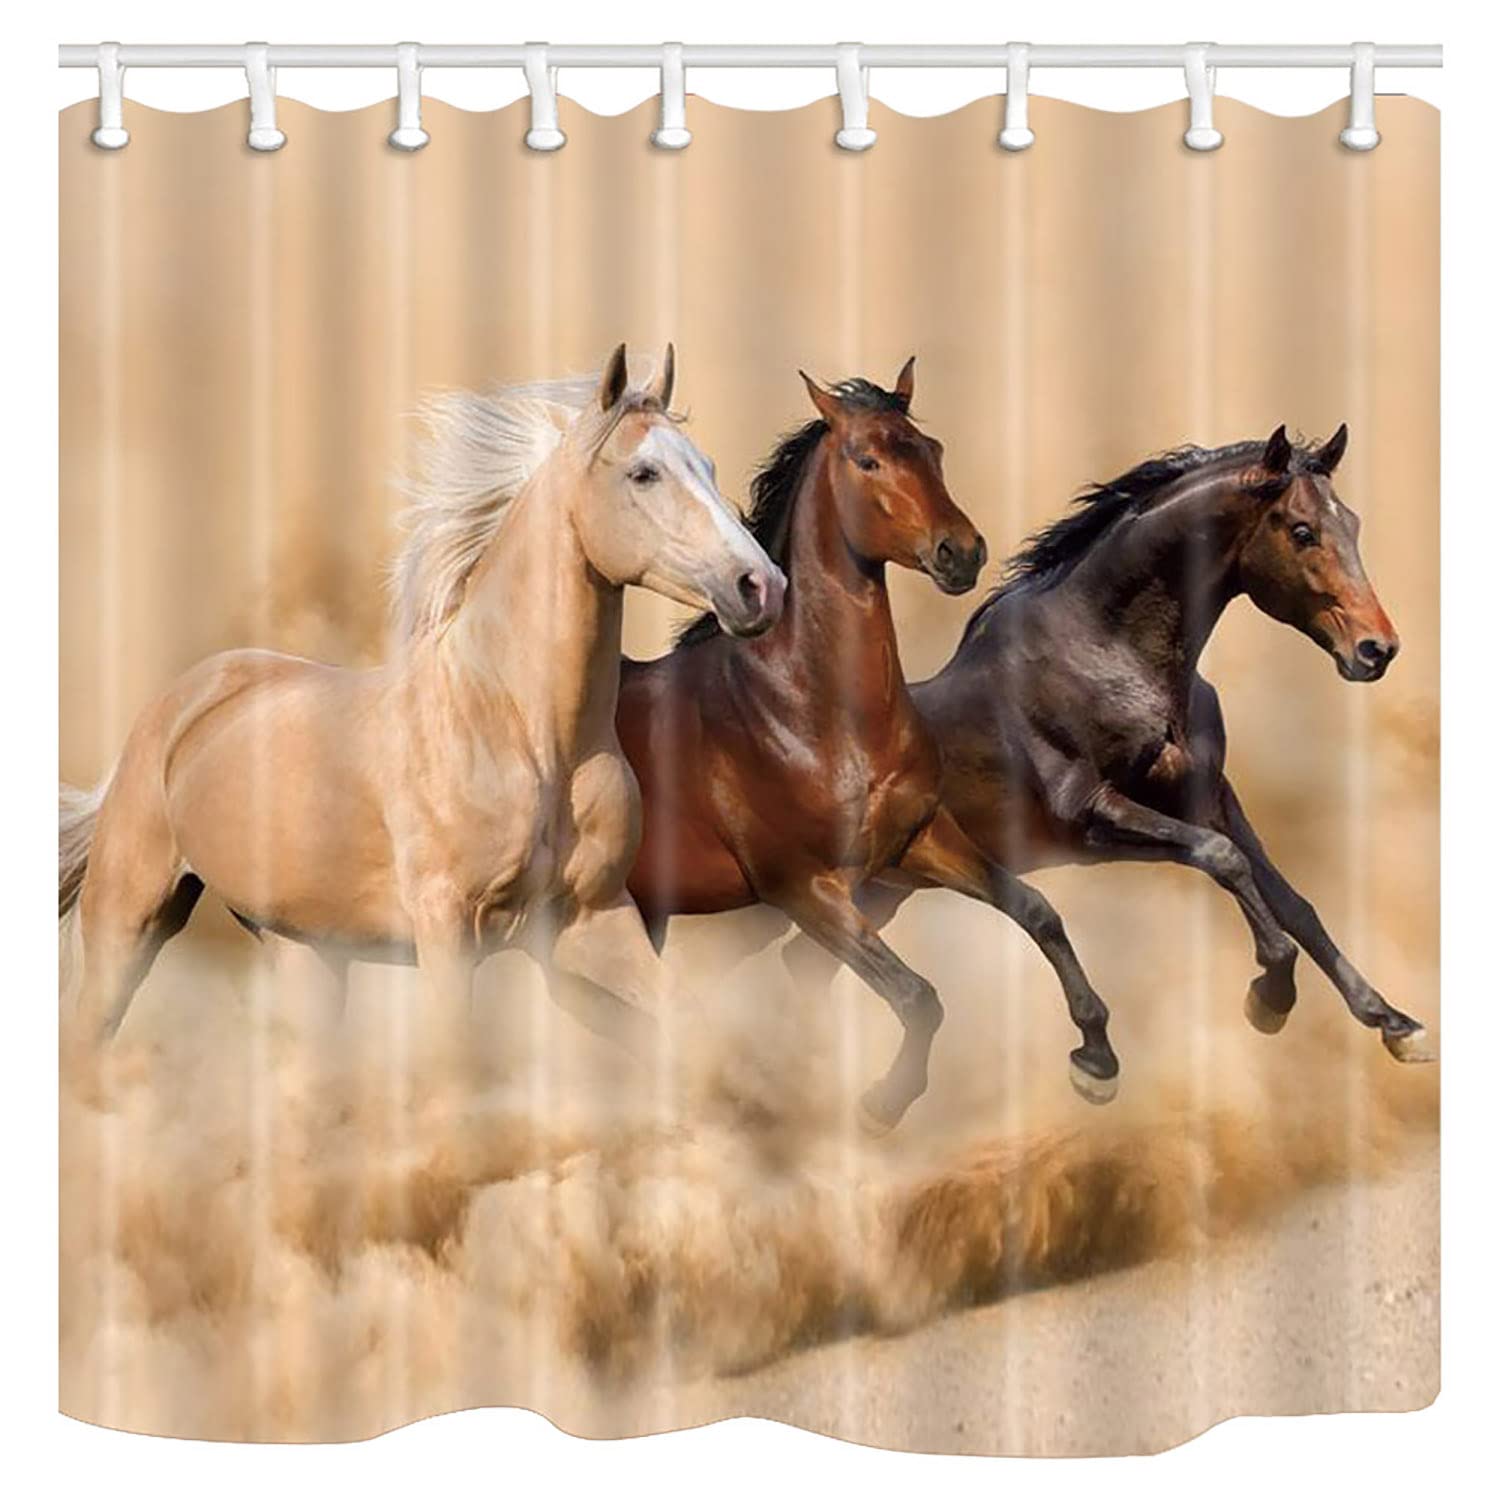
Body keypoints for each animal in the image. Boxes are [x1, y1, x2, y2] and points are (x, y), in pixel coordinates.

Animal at [58, 345, 787, 1050]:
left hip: (306, 951)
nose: (760, 587)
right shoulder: (448, 927)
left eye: (708, 466)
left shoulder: (595, 921)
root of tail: (182, 703)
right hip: (126, 921)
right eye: (644, 474)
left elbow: (690, 1029)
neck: (523, 732)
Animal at [616, 360, 1116, 1132]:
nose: (960, 552)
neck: (814, 714)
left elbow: (1036, 910)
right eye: (867, 459)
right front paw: (882, 1100)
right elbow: (916, 995)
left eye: (932, 449)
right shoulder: (804, 889)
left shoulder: (917, 840)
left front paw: (1095, 1057)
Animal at [776, 421, 1432, 1107]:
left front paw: (1395, 1024)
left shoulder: (1210, 796)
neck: (1110, 654)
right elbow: (1223, 861)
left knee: (807, 964)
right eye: (1302, 530)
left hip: (884, 888)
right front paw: (1269, 996)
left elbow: (1291, 899)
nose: (1376, 649)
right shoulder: (1093, 817)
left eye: (1352, 523)